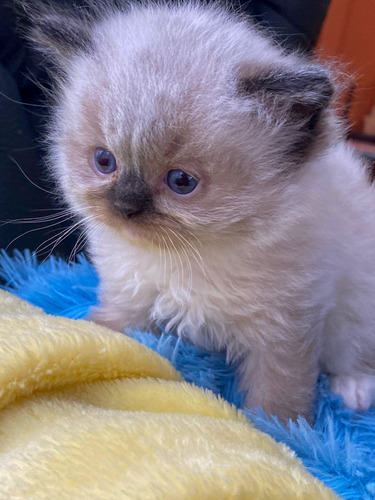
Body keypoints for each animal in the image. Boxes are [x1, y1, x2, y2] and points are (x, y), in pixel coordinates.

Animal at [22, 0, 375, 422]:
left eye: (181, 182)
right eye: (104, 161)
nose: (125, 207)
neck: (188, 259)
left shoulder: (283, 329)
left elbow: (278, 394)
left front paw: (277, 428)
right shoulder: (130, 295)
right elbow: (111, 330)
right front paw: (85, 338)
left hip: (354, 309)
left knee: (355, 354)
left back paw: (353, 391)